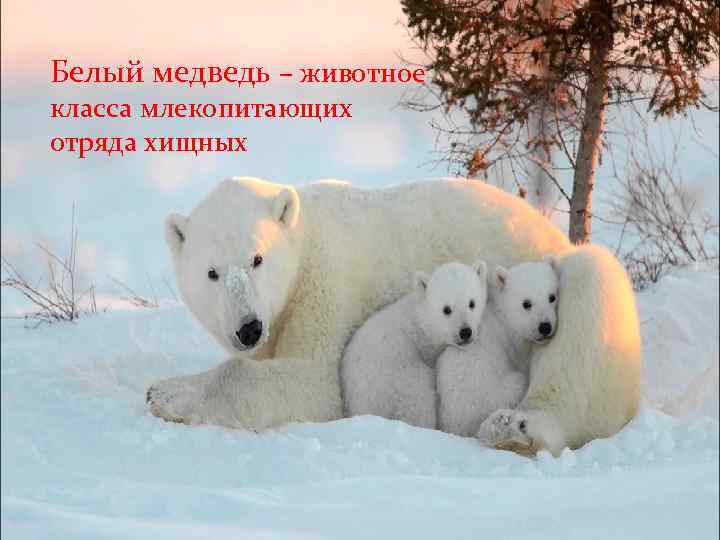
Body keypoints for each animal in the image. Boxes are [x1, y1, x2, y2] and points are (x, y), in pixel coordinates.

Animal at [436, 260, 560, 437]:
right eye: (526, 303)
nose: (545, 327)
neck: (504, 317)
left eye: (552, 297)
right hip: (501, 393)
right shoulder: (516, 347)